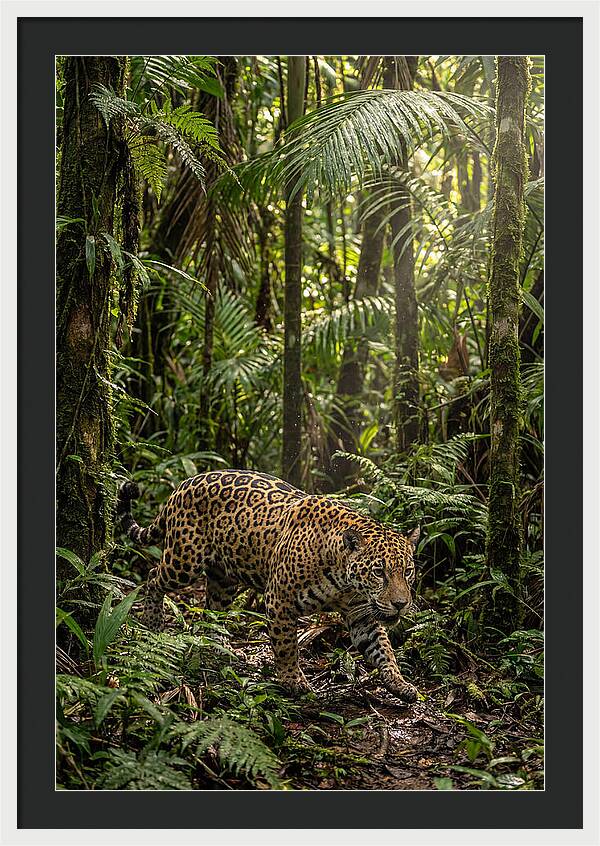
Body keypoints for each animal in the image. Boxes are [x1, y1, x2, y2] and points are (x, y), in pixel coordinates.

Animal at [117, 469, 421, 703]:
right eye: (379, 572)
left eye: (407, 572)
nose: (401, 604)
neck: (343, 579)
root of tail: (183, 484)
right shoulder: (280, 601)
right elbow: (286, 646)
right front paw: (293, 682)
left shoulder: (361, 615)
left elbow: (382, 649)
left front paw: (400, 684)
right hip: (183, 561)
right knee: (153, 577)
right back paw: (153, 621)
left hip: (223, 579)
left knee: (212, 609)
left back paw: (218, 645)